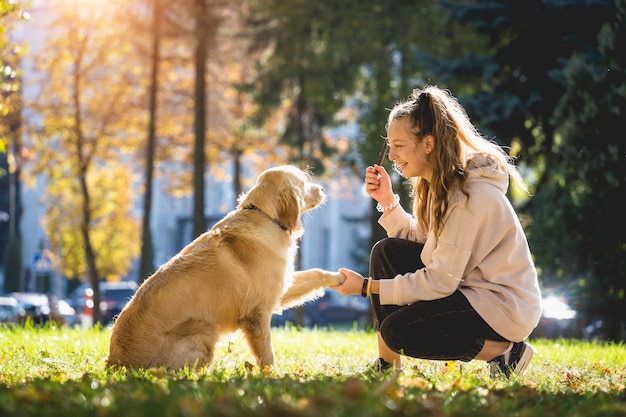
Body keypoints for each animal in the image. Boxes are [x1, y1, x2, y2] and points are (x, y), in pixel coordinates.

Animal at [106, 164, 342, 368]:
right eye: (304, 181)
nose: (322, 189)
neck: (265, 216)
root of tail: (115, 364)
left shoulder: (278, 289)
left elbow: (315, 273)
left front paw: (339, 278)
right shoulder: (257, 312)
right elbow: (267, 354)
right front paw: (271, 375)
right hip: (204, 330)